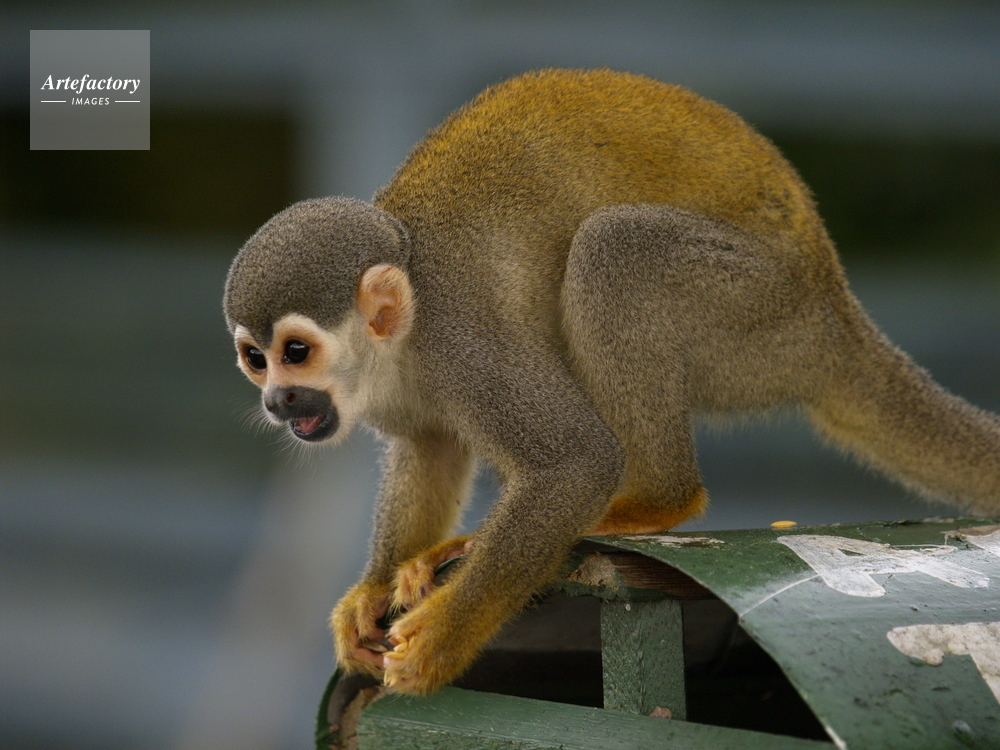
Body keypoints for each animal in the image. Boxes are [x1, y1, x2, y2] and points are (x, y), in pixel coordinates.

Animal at [223, 68, 1000, 695]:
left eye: (296, 351)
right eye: (255, 358)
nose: (276, 400)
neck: (401, 345)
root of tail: (834, 306)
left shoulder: (463, 345)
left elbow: (576, 461)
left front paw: (446, 635)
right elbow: (430, 451)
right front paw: (375, 587)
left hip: (758, 315)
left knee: (612, 252)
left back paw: (653, 500)